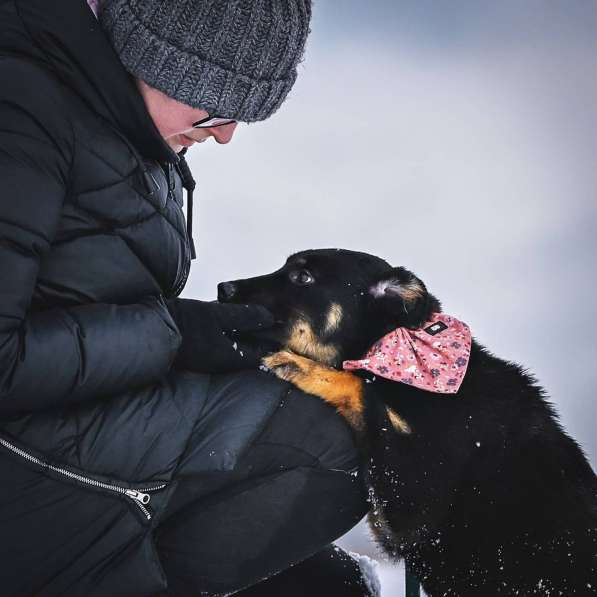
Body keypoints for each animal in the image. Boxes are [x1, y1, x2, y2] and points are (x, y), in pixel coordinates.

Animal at [219, 249, 596, 592]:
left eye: (303, 277)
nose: (223, 289)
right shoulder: (390, 519)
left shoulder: (413, 505)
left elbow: (360, 384)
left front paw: (301, 366)